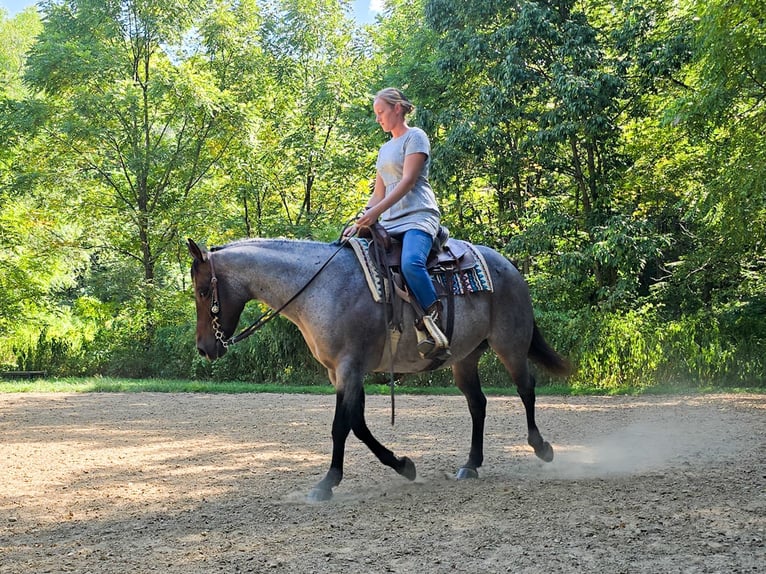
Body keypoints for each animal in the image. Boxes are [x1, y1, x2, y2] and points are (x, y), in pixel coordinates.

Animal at [187, 237, 572, 502]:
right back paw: (471, 464)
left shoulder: (350, 367)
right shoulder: (342, 373)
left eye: (204, 290)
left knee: (526, 388)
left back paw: (541, 447)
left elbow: (341, 427)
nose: (205, 348)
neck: (321, 288)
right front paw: (403, 465)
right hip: (465, 358)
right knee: (478, 404)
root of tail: (510, 266)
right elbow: (357, 424)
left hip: (510, 344)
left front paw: (326, 483)